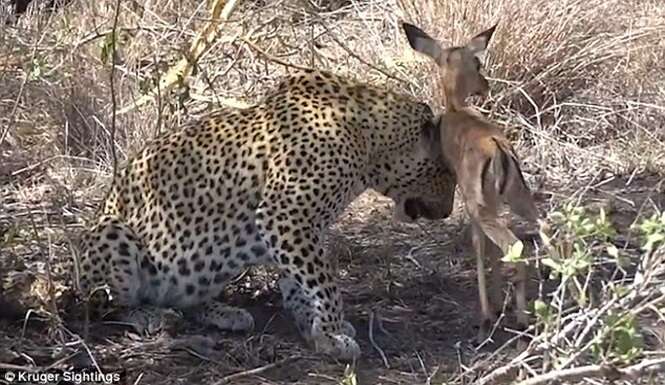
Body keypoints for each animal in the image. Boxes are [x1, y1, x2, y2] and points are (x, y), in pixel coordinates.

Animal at [74, 69, 456, 360]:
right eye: (450, 174)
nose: (449, 212)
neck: (369, 143)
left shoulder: (296, 227)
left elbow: (302, 280)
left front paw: (313, 324)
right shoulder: (285, 215)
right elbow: (324, 281)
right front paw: (331, 333)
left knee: (187, 298)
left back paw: (224, 313)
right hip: (112, 235)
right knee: (107, 305)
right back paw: (153, 316)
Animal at [404, 22, 540, 340]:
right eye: (477, 62)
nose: (485, 86)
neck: (456, 111)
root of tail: (498, 148)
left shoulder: (469, 203)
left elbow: (479, 248)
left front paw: (488, 315)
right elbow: (488, 251)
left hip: (483, 207)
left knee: (516, 247)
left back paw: (520, 322)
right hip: (518, 199)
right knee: (546, 228)